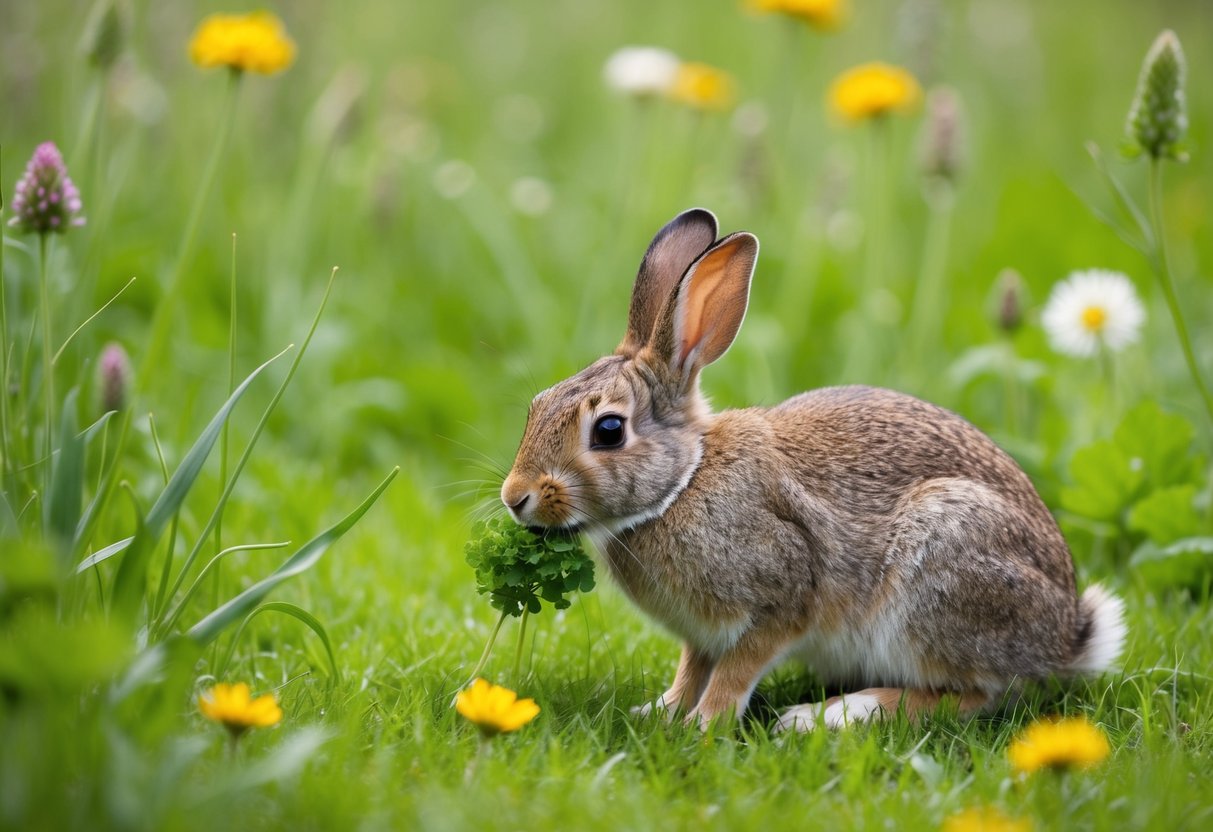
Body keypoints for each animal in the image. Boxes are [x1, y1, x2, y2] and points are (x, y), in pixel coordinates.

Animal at [500, 208, 1126, 730]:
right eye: (537, 404)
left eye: (608, 431)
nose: (514, 497)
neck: (684, 482)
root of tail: (1066, 636)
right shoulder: (703, 634)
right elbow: (692, 666)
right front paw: (663, 711)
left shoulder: (784, 596)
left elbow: (736, 669)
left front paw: (706, 724)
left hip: (939, 568)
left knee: (977, 694)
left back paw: (829, 715)